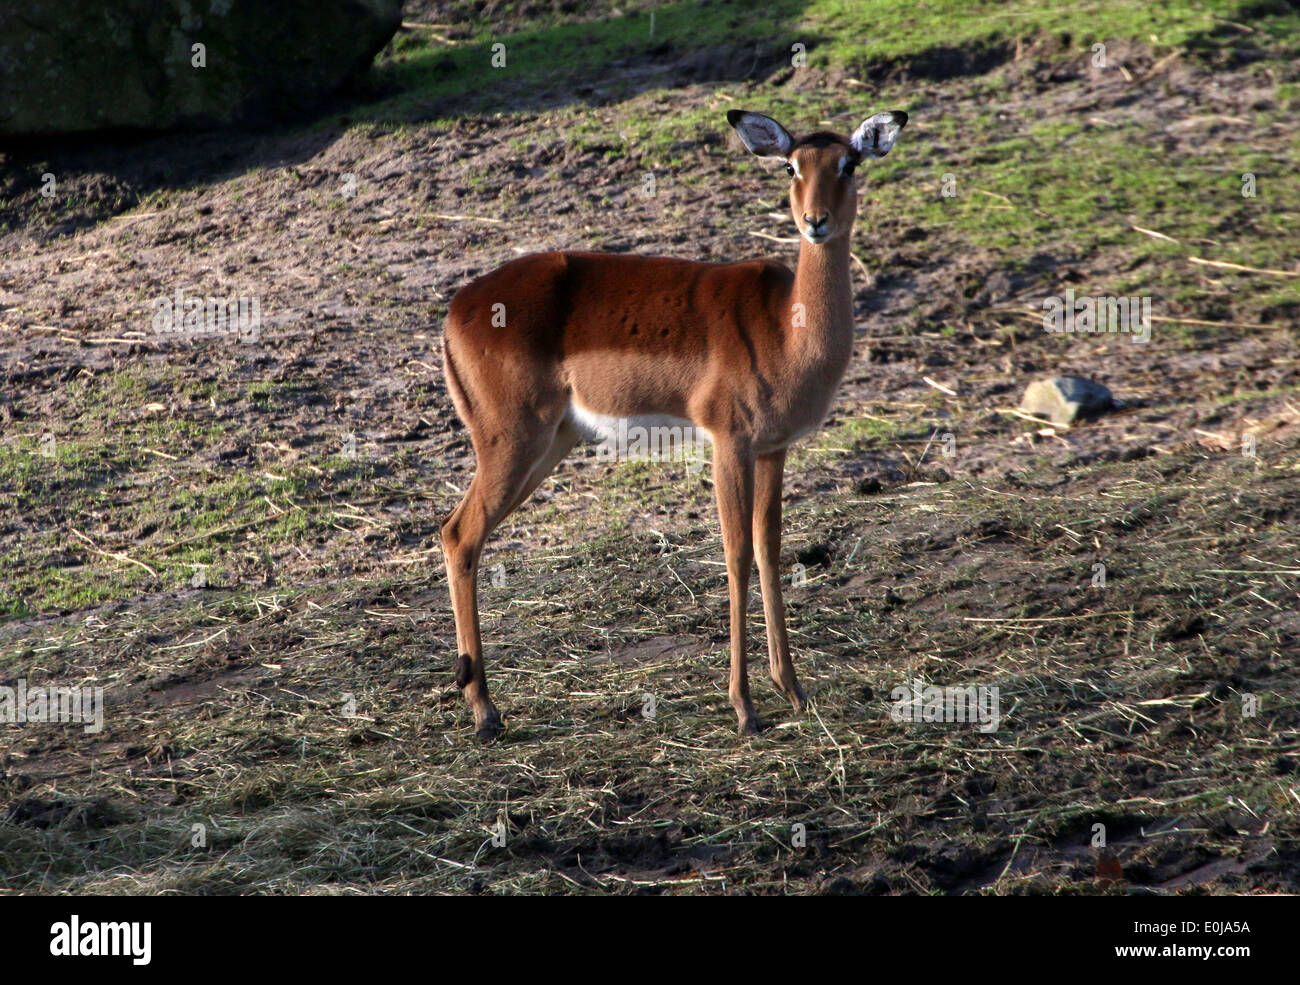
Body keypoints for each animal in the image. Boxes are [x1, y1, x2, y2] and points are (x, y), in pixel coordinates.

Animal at [441, 107, 909, 738]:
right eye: (791, 166)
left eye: (848, 164)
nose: (816, 221)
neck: (786, 328)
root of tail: (457, 308)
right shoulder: (728, 442)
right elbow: (735, 555)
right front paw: (744, 707)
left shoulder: (773, 449)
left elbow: (770, 550)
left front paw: (793, 690)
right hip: (512, 440)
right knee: (460, 534)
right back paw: (485, 712)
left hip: (548, 443)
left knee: (457, 533)